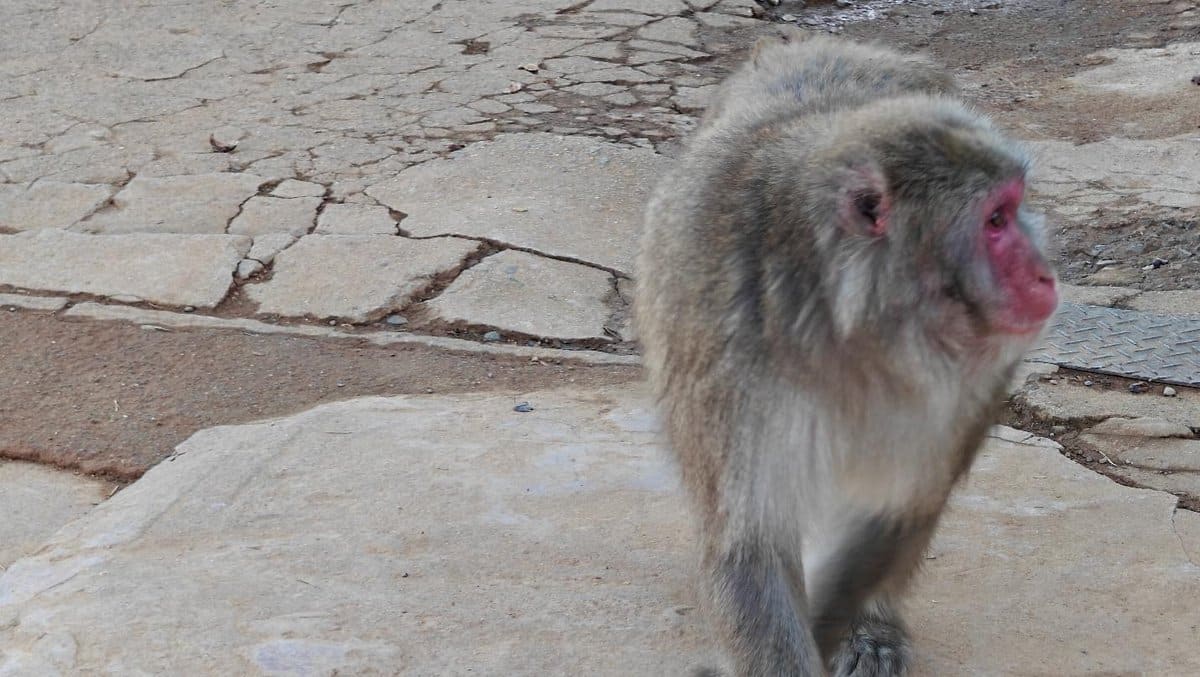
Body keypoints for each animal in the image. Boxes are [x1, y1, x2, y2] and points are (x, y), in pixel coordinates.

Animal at [635, 32, 1058, 677]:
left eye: (1015, 206)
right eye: (995, 219)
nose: (1044, 273)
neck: (850, 319)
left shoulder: (974, 379)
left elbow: (900, 508)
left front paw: (854, 626)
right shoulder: (723, 355)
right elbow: (749, 546)